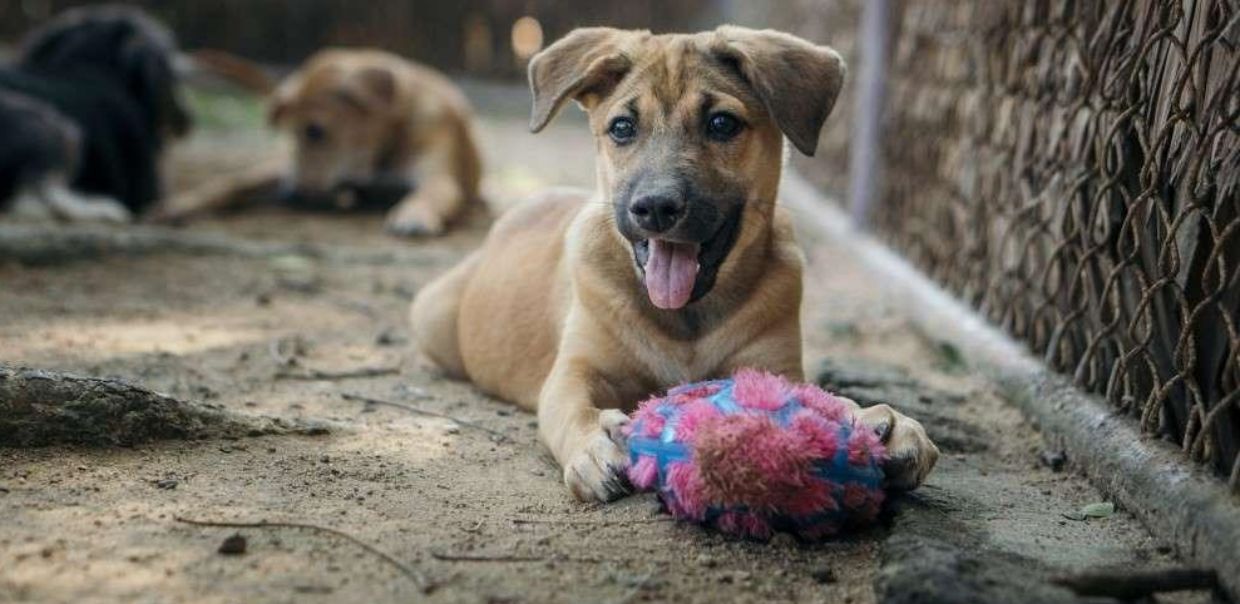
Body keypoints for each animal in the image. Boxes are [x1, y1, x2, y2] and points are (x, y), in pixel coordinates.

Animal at [0, 5, 188, 222]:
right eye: (172, 72)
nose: (187, 120)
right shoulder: (146, 192)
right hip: (63, 131)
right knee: (38, 201)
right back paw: (106, 209)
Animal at [159, 48, 478, 236]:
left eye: (315, 131)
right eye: (293, 133)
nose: (292, 195)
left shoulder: (439, 178)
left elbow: (430, 193)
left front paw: (415, 214)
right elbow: (236, 182)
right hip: (278, 168)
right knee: (236, 181)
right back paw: (178, 205)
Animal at [409, 27, 937, 501]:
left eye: (722, 124)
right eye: (622, 128)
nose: (656, 208)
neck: (685, 318)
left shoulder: (776, 368)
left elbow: (820, 397)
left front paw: (875, 420)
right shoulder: (574, 371)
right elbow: (573, 409)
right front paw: (594, 445)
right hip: (433, 318)